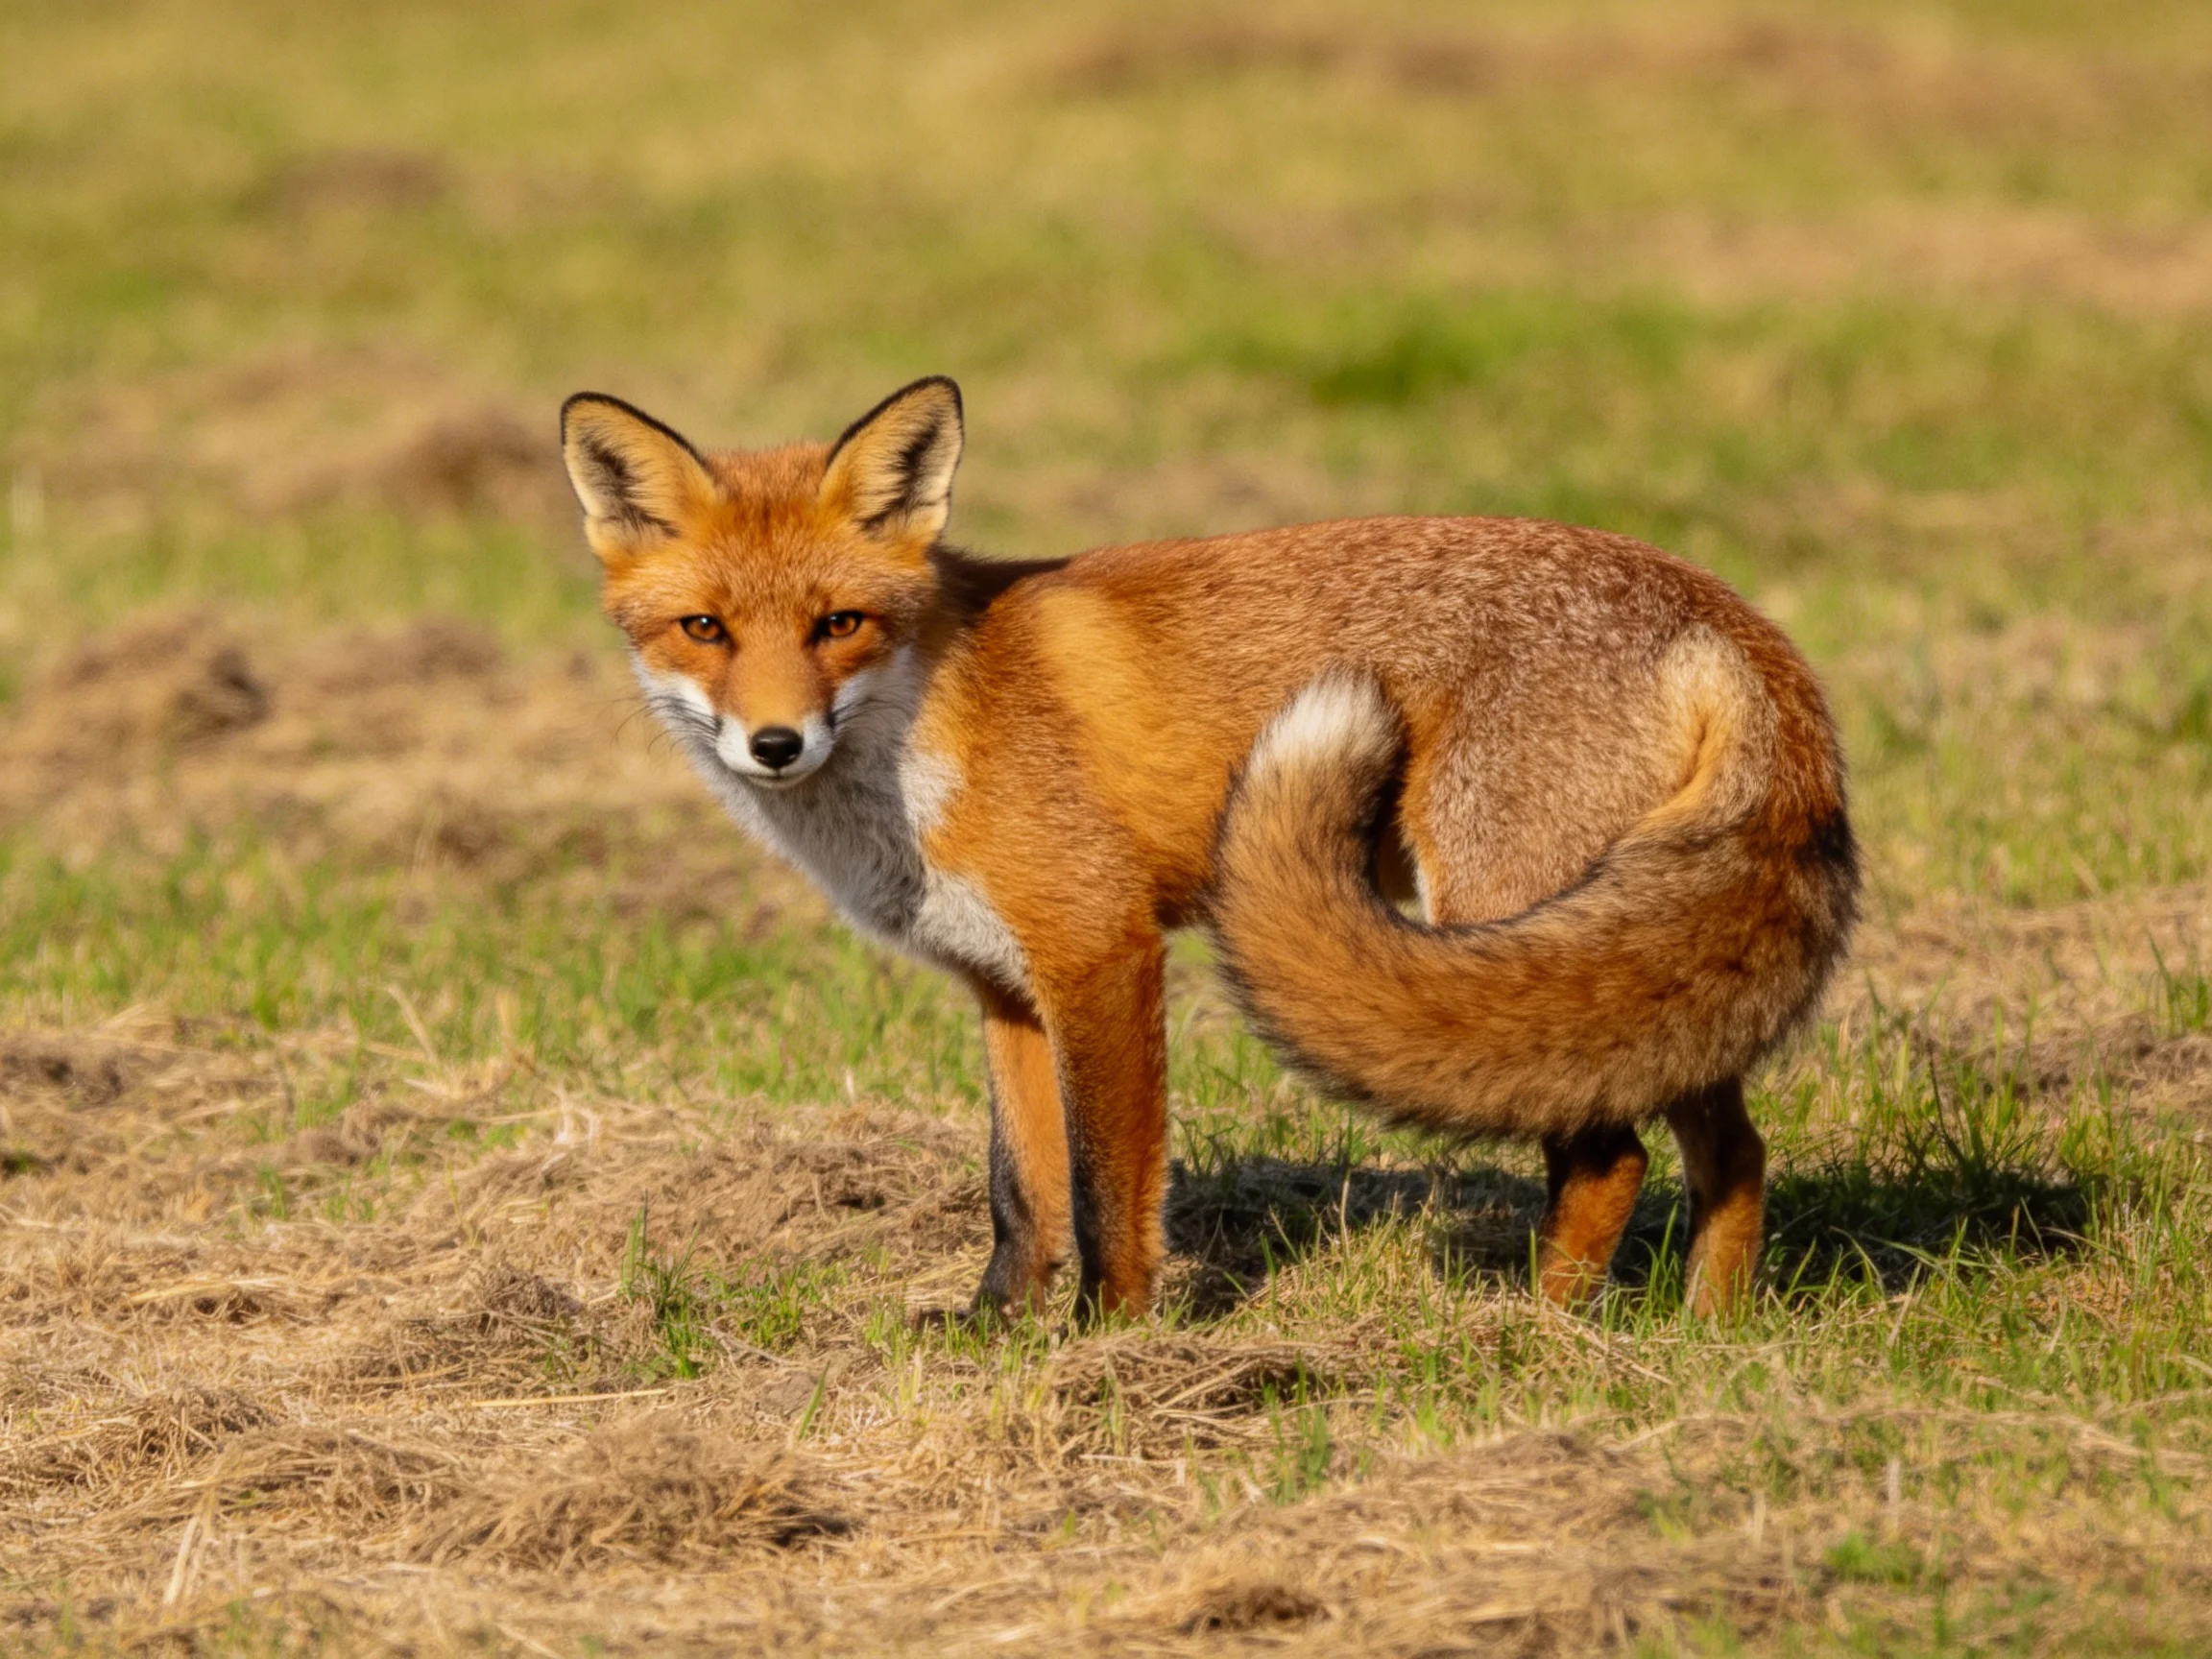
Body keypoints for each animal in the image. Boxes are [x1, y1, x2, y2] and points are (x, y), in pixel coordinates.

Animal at [559, 375, 1857, 1323]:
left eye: (839, 624)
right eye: (705, 629)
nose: (775, 744)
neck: (931, 726)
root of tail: (1737, 623)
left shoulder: (1102, 951)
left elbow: (1105, 1189)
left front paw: (1110, 1344)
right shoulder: (1003, 986)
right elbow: (1018, 1192)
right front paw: (993, 1335)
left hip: (1506, 923)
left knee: (1609, 1161)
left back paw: (1529, 1339)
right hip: (1623, 967)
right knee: (1734, 1150)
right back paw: (1705, 1333)